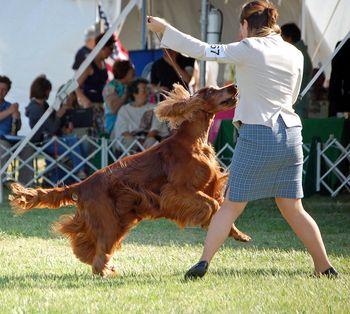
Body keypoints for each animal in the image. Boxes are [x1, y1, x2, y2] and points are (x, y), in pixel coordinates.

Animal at [9, 83, 250, 278]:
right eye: (211, 91)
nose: (234, 86)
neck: (193, 141)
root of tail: (82, 184)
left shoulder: (208, 186)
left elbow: (221, 209)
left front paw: (239, 234)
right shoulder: (176, 191)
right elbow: (213, 204)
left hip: (118, 220)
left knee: (88, 247)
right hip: (108, 221)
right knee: (98, 254)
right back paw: (105, 272)